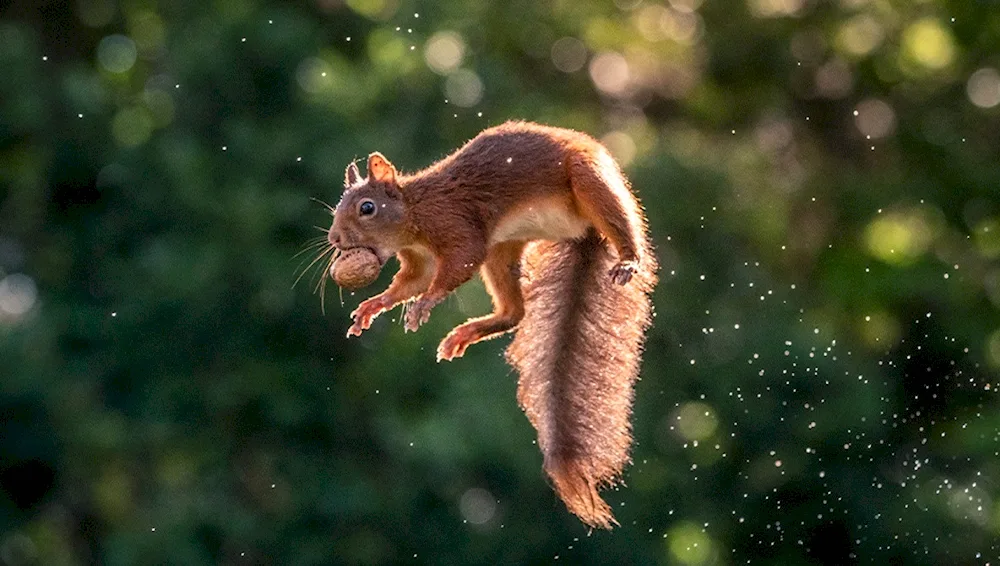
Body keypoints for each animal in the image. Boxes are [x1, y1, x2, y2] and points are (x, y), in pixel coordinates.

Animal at [324, 122, 660, 532]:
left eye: (367, 208)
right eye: (338, 208)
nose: (334, 239)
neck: (415, 209)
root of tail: (584, 231)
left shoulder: (454, 222)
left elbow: (459, 263)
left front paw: (425, 304)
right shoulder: (419, 260)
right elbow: (412, 282)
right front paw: (375, 305)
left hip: (590, 181)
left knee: (621, 222)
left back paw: (629, 259)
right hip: (504, 251)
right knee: (515, 313)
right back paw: (468, 332)